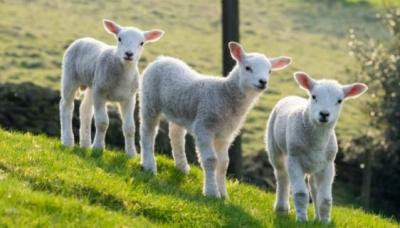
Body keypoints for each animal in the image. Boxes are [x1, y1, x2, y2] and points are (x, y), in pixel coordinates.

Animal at [60, 19, 163, 156]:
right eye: (119, 39)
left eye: (141, 43)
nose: (129, 54)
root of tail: (82, 39)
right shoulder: (100, 92)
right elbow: (102, 122)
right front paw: (98, 148)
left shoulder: (129, 98)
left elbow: (130, 127)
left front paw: (131, 153)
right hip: (70, 76)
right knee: (66, 106)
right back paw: (68, 141)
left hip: (93, 84)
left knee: (85, 110)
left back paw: (85, 144)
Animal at [140, 41, 290, 199]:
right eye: (248, 68)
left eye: (270, 71)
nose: (263, 82)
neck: (224, 94)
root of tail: (161, 59)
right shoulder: (204, 127)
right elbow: (211, 160)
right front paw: (211, 192)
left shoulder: (225, 135)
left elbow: (224, 164)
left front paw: (223, 195)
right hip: (149, 99)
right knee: (147, 131)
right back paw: (149, 165)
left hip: (178, 109)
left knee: (176, 134)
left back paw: (182, 167)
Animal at [268, 72, 368, 224]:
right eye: (314, 96)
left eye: (339, 100)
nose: (324, 114)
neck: (317, 142)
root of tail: (291, 96)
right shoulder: (294, 159)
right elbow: (301, 194)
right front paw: (302, 220)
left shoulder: (328, 165)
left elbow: (325, 199)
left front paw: (325, 222)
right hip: (275, 148)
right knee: (282, 176)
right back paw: (281, 208)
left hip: (315, 164)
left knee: (313, 186)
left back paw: (317, 216)